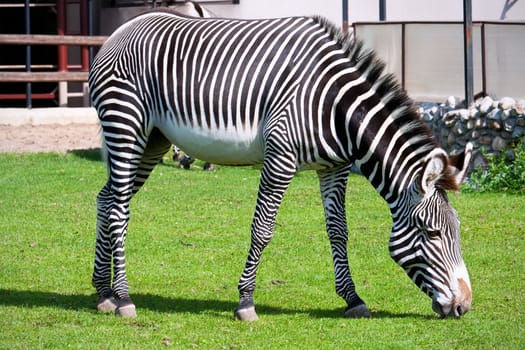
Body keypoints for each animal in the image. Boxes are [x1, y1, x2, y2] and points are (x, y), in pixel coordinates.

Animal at [88, 9, 472, 322]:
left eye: (457, 230)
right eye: (433, 233)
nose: (463, 306)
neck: (337, 107)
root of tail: (119, 32)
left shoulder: (334, 167)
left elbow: (338, 231)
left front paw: (352, 299)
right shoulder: (280, 157)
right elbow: (262, 229)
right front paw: (245, 301)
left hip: (152, 140)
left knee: (106, 199)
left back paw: (103, 292)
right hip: (126, 125)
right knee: (118, 209)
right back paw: (123, 298)